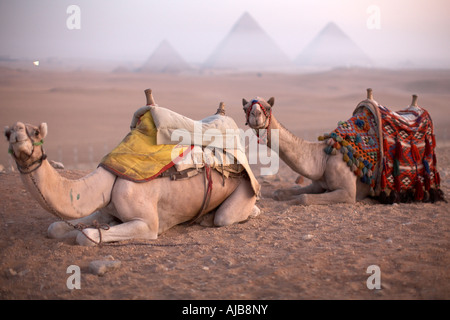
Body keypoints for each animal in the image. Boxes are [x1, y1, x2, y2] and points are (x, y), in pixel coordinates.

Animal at [4, 90, 260, 248]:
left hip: (243, 189)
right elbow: (55, 227)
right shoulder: (106, 209)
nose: (16, 137)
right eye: (7, 133)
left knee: (227, 216)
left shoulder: (147, 224)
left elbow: (86, 235)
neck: (110, 178)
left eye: (35, 132)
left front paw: (84, 234)